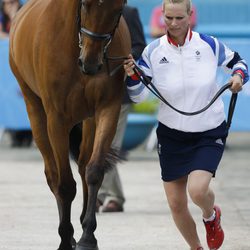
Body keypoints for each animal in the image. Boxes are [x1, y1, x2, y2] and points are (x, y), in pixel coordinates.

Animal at [9, 0, 131, 250]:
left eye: (119, 9)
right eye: (84, 4)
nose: (91, 63)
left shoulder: (107, 109)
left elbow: (94, 171)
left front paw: (88, 236)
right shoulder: (57, 119)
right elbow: (64, 184)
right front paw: (66, 238)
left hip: (89, 119)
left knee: (83, 165)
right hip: (35, 110)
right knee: (53, 174)